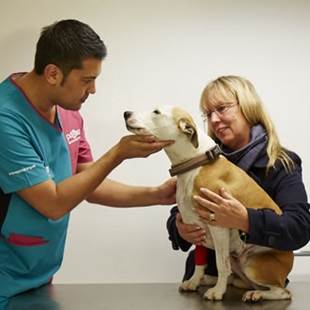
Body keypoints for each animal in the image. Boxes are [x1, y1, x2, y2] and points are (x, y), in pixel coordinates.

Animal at [123, 105, 294, 302]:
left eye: (156, 112)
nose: (126, 113)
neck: (195, 163)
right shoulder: (196, 228)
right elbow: (200, 260)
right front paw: (194, 281)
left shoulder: (218, 226)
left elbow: (220, 264)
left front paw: (217, 292)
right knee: (237, 278)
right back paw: (212, 280)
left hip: (253, 264)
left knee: (282, 291)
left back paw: (256, 294)